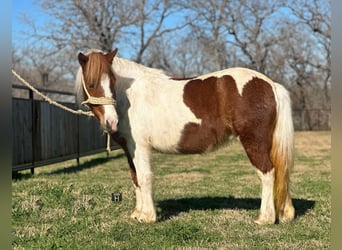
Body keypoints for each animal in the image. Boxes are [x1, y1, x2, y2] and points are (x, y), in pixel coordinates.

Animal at [76, 48, 296, 225]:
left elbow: (145, 177)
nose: (111, 122)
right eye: (91, 83)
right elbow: (135, 177)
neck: (129, 97)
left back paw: (264, 219)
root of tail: (271, 84)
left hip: (254, 143)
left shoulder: (140, 146)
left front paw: (148, 217)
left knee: (267, 173)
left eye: (112, 81)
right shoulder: (129, 149)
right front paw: (137, 213)